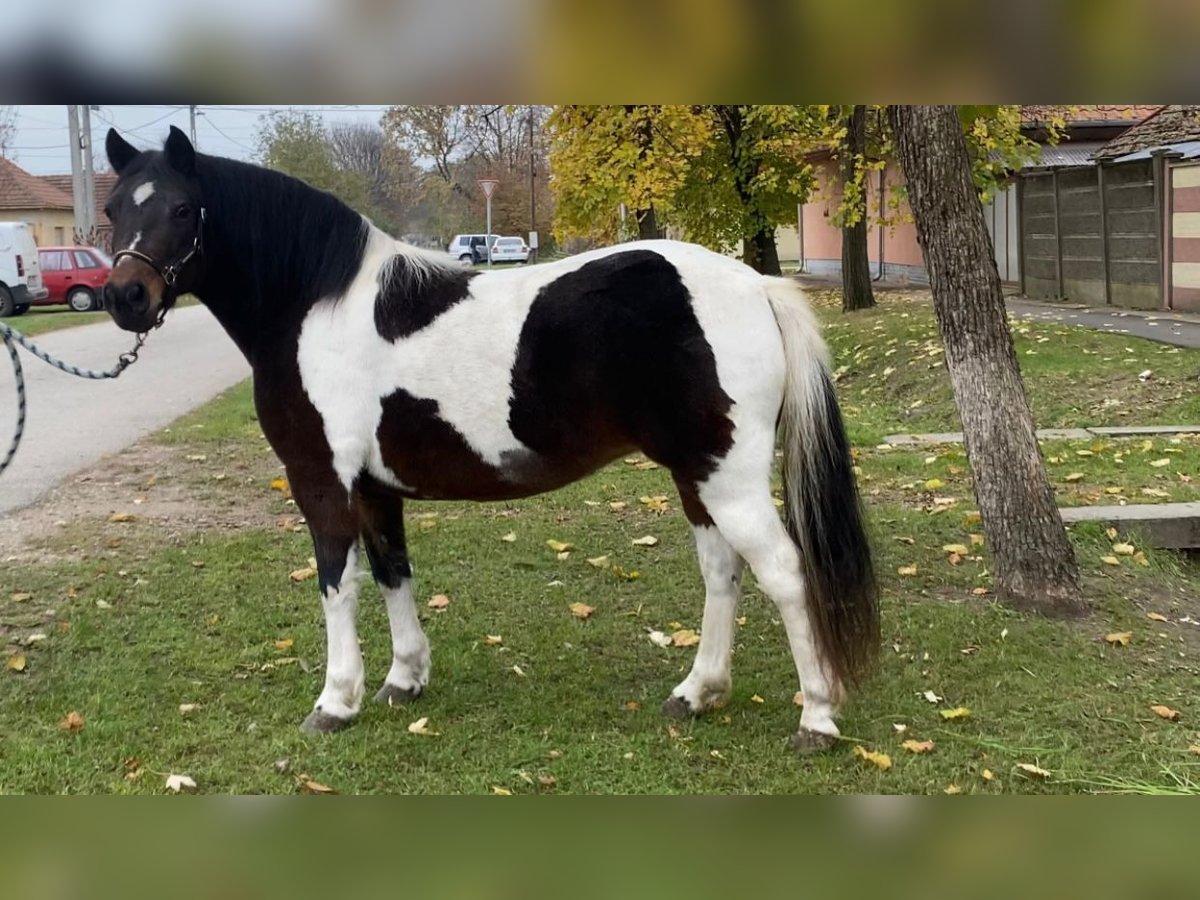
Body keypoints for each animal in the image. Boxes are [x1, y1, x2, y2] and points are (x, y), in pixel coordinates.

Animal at [98, 125, 878, 748]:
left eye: (182, 208)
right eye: (112, 209)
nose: (125, 298)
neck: (315, 304)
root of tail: (756, 287)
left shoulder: (322, 483)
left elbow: (335, 585)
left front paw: (336, 701)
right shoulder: (376, 490)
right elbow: (392, 572)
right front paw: (405, 679)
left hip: (730, 477)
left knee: (783, 572)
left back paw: (816, 718)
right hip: (698, 474)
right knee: (722, 572)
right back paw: (697, 692)